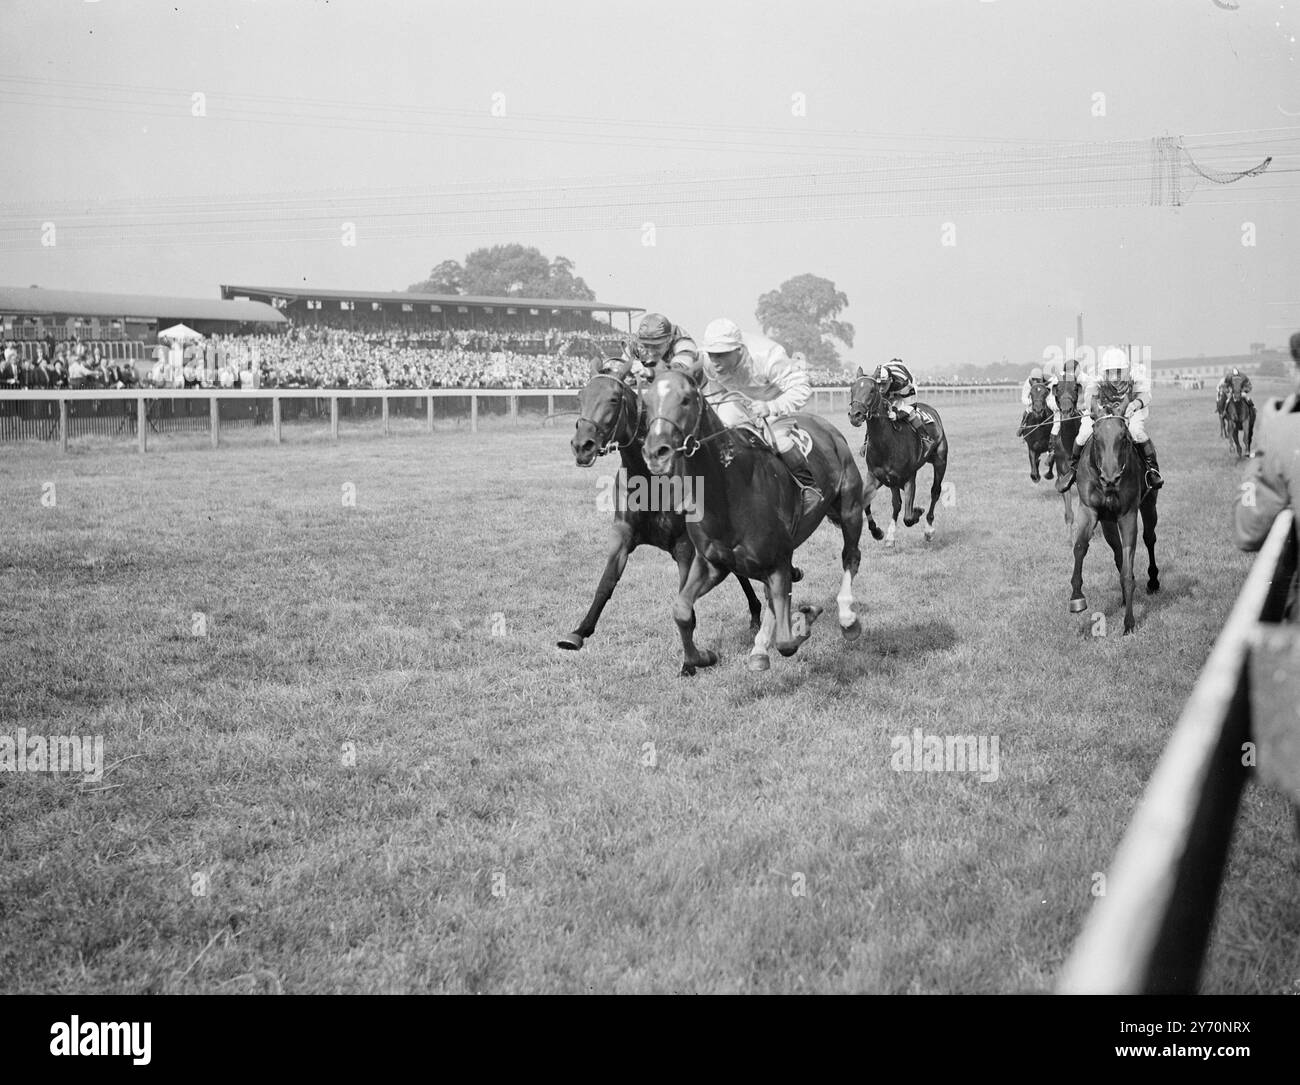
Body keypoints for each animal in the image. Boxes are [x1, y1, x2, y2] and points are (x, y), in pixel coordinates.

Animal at [556, 363, 759, 652]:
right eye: (580, 396)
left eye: (614, 399)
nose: (582, 445)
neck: (651, 480)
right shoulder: (623, 533)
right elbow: (606, 582)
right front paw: (578, 632)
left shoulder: (685, 546)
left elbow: (684, 596)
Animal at [639, 374, 863, 680]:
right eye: (647, 401)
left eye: (685, 399)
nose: (655, 453)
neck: (727, 492)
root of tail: (830, 430)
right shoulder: (713, 563)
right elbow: (681, 610)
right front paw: (703, 657)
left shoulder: (777, 561)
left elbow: (786, 642)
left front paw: (805, 617)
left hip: (850, 509)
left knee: (850, 557)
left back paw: (847, 619)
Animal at [847, 369, 951, 548]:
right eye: (852, 389)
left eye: (872, 390)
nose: (855, 415)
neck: (886, 443)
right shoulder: (876, 477)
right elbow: (866, 503)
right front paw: (878, 532)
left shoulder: (909, 477)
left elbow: (908, 517)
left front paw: (918, 512)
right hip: (893, 482)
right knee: (897, 504)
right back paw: (890, 536)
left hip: (940, 461)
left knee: (935, 492)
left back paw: (929, 529)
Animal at [1066, 415, 1159, 636]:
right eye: (1096, 436)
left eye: (1124, 437)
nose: (1110, 478)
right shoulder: (1089, 510)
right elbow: (1080, 547)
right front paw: (1077, 598)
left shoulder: (1128, 515)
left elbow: (1127, 567)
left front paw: (1129, 623)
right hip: (1108, 523)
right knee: (1117, 552)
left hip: (1149, 504)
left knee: (1149, 538)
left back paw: (1153, 581)